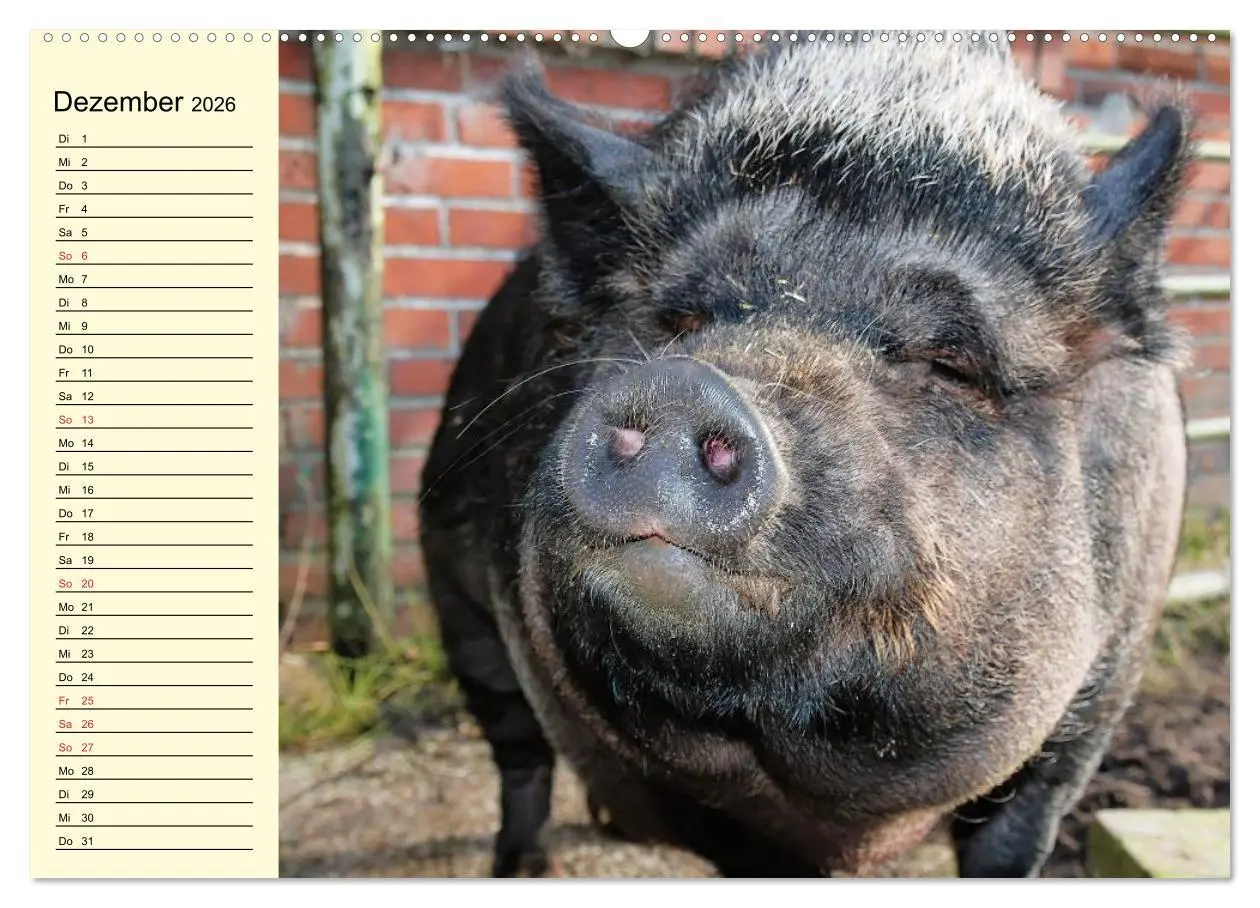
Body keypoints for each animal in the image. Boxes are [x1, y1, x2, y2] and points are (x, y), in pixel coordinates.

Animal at [418, 38, 1193, 878]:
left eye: (951, 363)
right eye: (679, 322)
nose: (684, 385)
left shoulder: (1094, 706)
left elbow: (1015, 840)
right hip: (457, 600)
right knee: (517, 750)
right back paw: (524, 866)